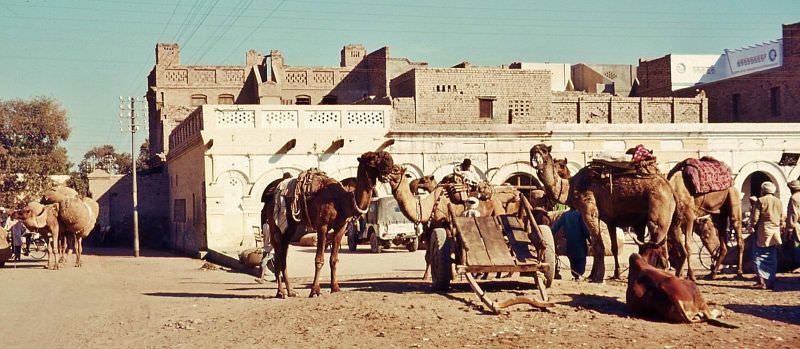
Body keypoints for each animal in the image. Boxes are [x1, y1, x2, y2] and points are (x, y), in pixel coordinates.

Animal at [264, 150, 396, 296]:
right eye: (372, 158)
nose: (389, 160)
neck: (342, 200)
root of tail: (271, 193)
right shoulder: (322, 226)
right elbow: (319, 259)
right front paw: (315, 290)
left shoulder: (341, 227)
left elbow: (334, 259)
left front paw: (335, 288)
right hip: (275, 223)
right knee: (277, 254)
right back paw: (281, 292)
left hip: (290, 226)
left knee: (283, 255)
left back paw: (291, 291)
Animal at [532, 143, 676, 282]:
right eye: (533, 150)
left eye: (544, 151)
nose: (535, 158)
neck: (572, 188)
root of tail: (668, 185)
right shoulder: (610, 219)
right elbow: (611, 247)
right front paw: (612, 274)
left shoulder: (589, 208)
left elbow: (597, 244)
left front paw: (597, 277)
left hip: (659, 205)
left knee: (657, 235)